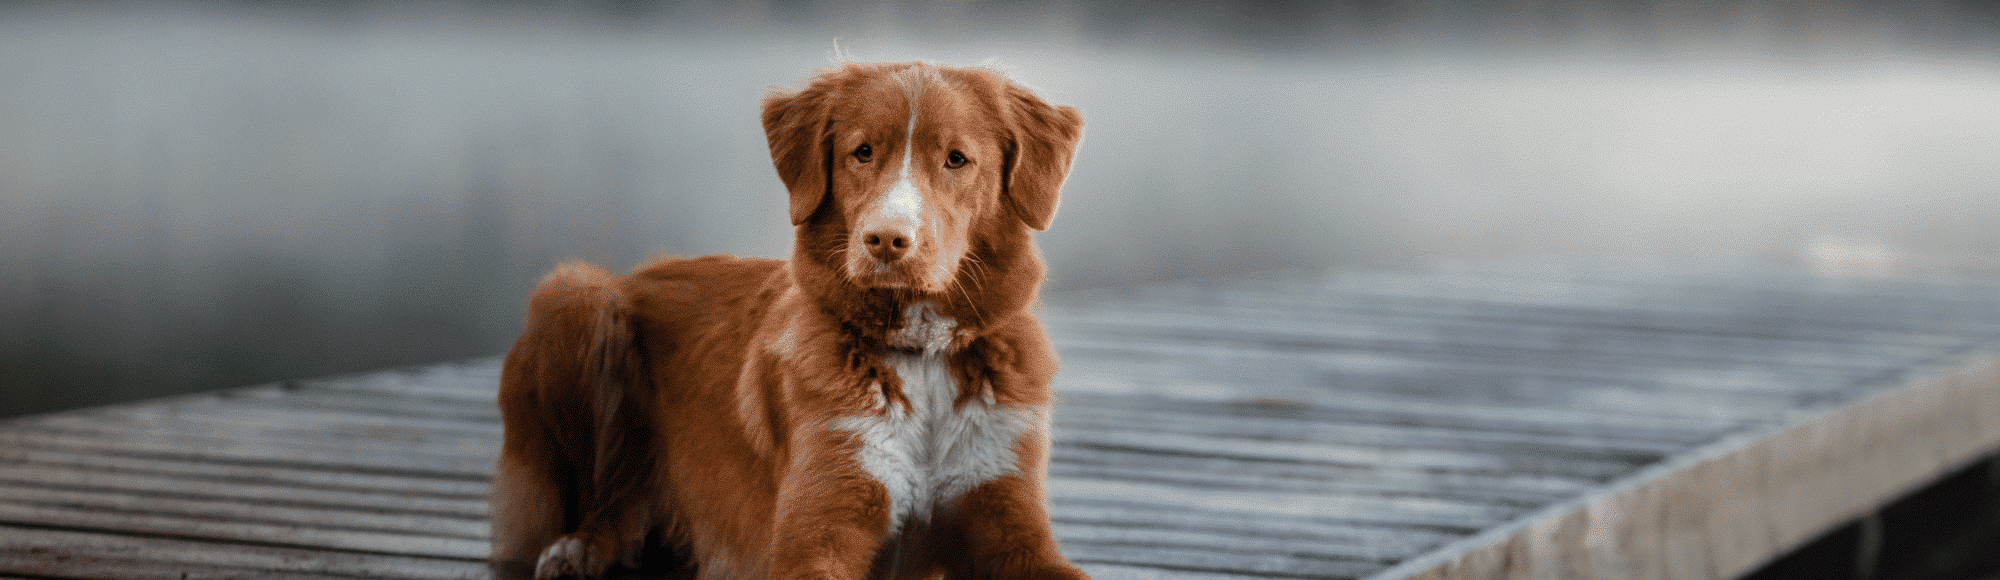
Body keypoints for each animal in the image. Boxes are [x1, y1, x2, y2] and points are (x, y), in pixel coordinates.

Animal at [494, 60, 1096, 580]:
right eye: (862, 152)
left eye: (956, 159)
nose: (885, 240)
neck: (921, 354)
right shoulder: (821, 526)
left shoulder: (1010, 522)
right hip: (575, 294)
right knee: (607, 501)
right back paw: (580, 546)